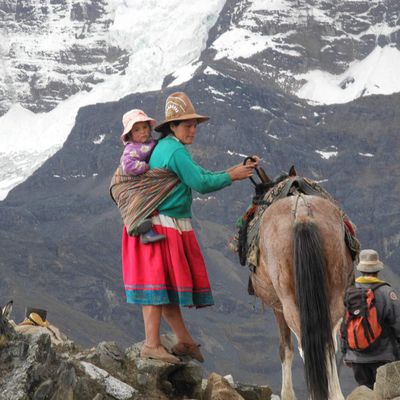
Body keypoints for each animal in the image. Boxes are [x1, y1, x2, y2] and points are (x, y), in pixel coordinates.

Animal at [250, 172, 354, 400]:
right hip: (334, 293)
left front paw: (287, 394)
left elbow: (285, 349)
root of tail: (302, 213)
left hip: (288, 299)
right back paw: (334, 393)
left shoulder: (278, 307)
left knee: (304, 344)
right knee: (328, 342)